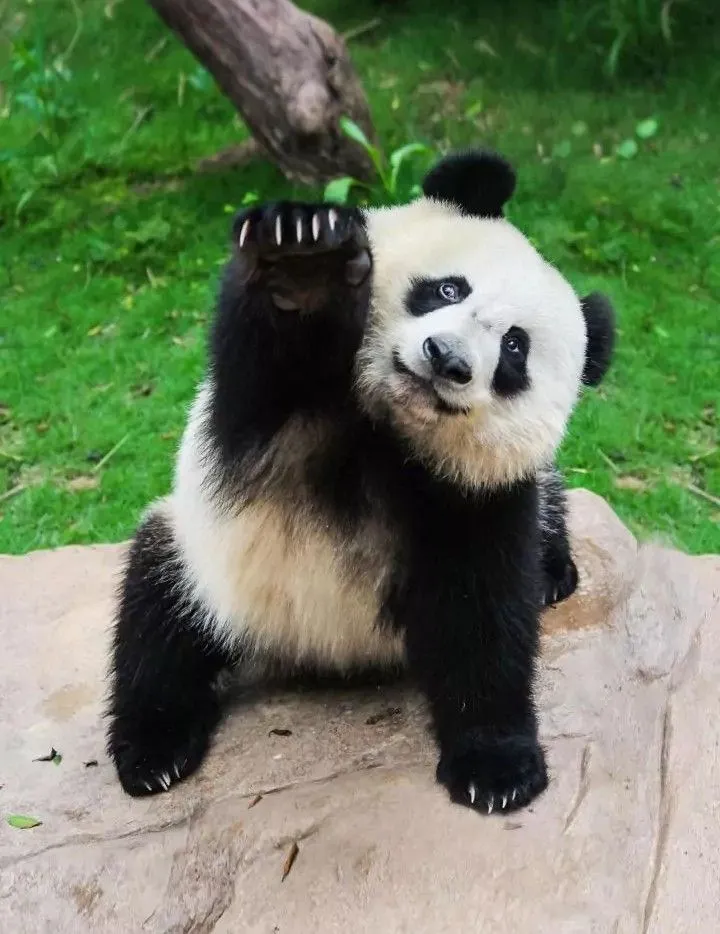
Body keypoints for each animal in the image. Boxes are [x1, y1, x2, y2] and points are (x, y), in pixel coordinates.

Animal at [107, 150, 615, 813]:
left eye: (513, 349)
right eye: (448, 289)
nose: (447, 358)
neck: (389, 433)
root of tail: (321, 657)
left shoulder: (478, 496)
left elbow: (483, 610)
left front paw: (497, 767)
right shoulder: (267, 425)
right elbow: (270, 360)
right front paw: (303, 264)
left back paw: (554, 571)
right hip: (201, 557)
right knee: (158, 622)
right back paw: (153, 752)